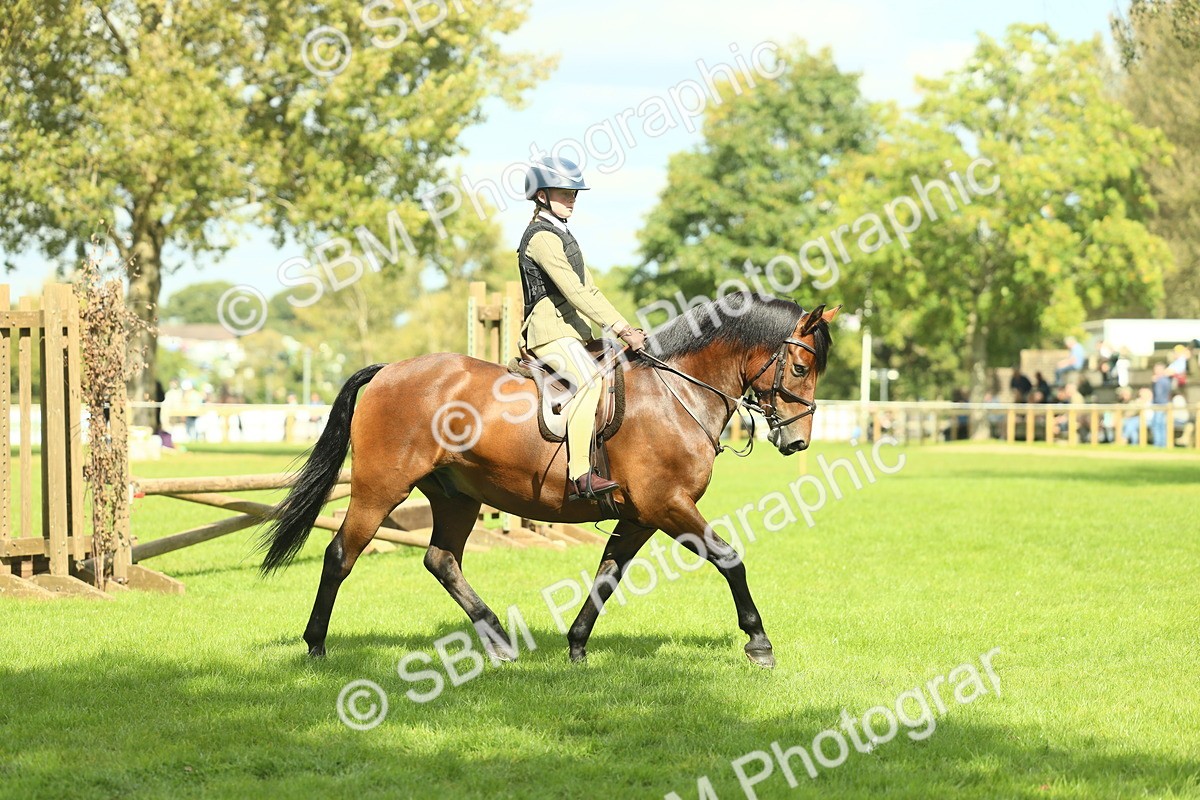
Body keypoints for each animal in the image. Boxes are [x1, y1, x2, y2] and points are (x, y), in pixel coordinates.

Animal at [258, 293, 837, 668]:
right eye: (801, 368)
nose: (797, 442)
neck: (675, 393)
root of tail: (387, 370)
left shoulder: (640, 515)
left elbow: (607, 576)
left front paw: (577, 645)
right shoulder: (667, 505)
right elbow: (730, 559)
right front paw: (759, 643)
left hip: (456, 496)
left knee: (442, 561)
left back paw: (498, 641)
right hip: (381, 489)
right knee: (341, 555)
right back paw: (316, 646)